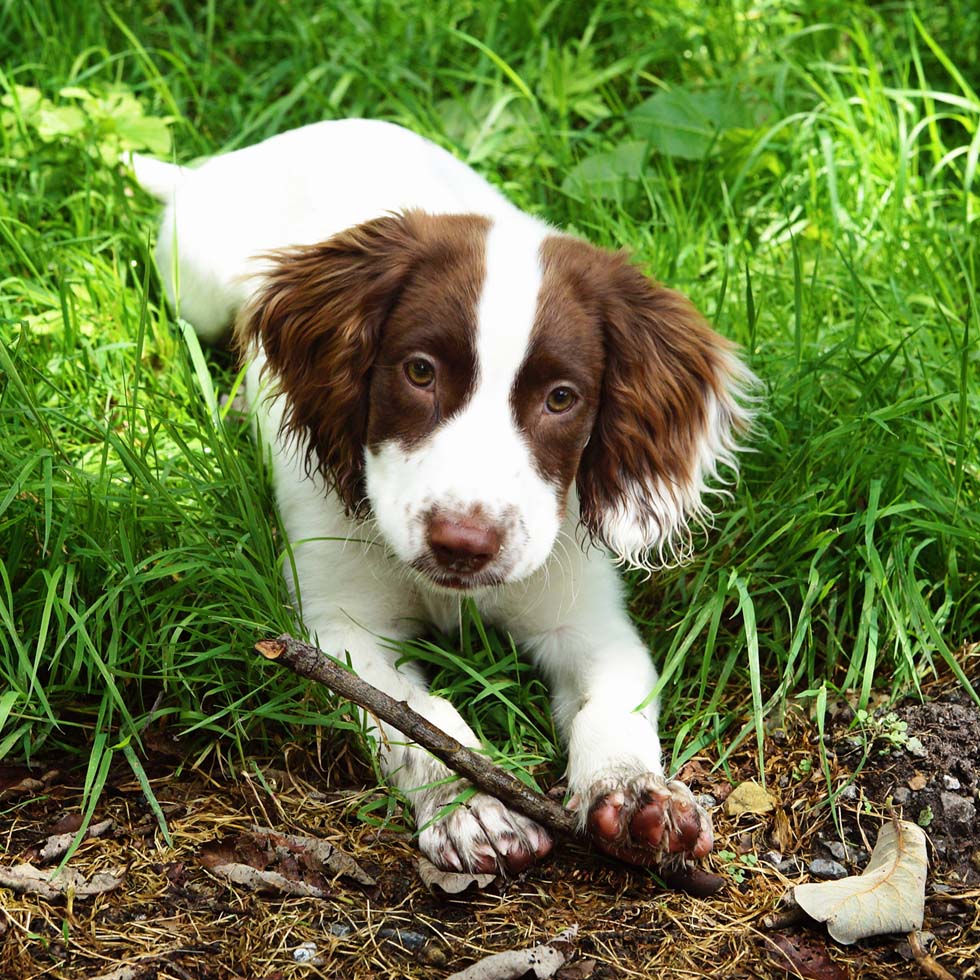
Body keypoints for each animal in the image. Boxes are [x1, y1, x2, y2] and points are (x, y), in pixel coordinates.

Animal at [132, 118, 752, 876]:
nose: (463, 545)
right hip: (196, 284)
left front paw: (636, 793)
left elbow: (616, 704)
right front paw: (473, 805)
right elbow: (417, 715)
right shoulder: (338, 627)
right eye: (420, 372)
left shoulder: (588, 621)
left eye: (561, 399)